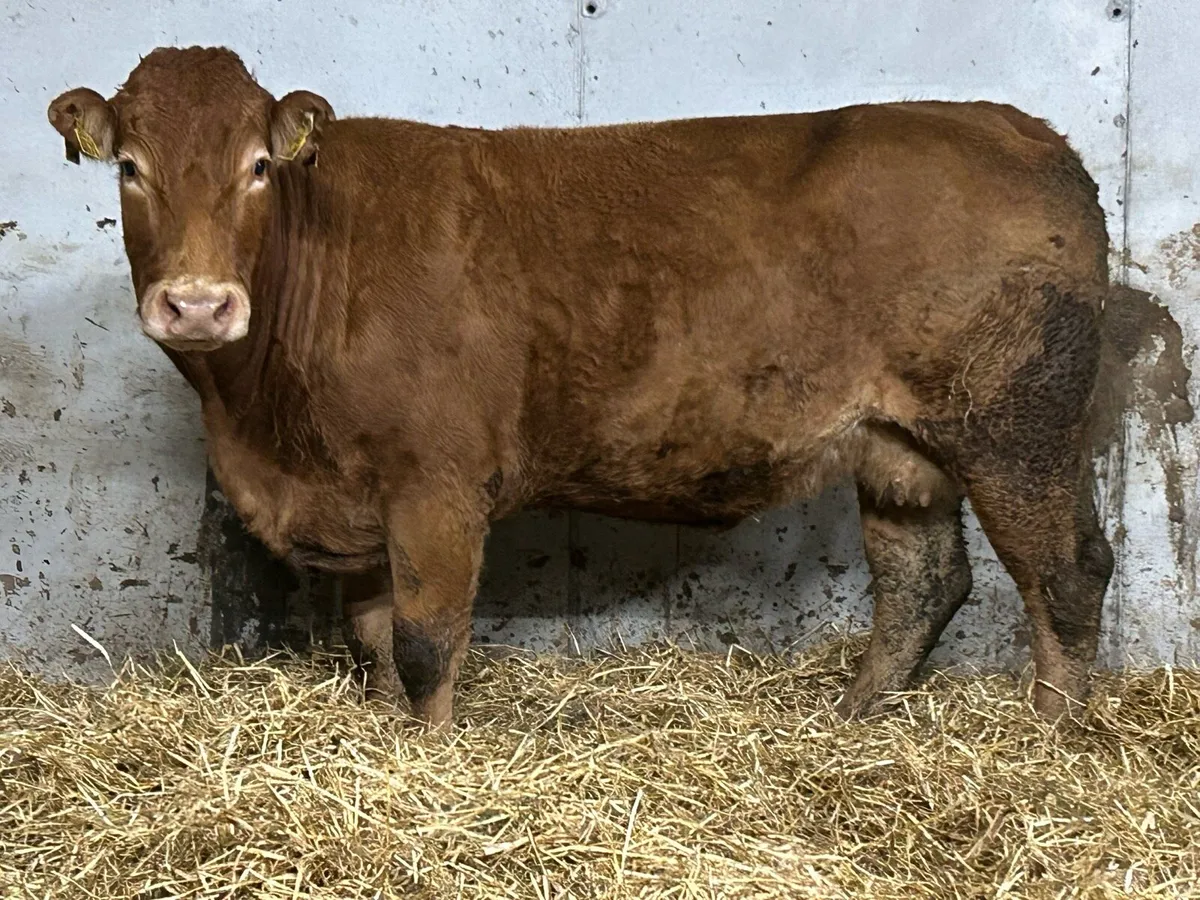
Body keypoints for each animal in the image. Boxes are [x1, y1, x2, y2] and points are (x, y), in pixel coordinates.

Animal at [48, 46, 1114, 728]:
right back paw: (849, 721)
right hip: (901, 443)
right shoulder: (352, 494)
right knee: (925, 582)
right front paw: (385, 747)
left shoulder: (435, 485)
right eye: (130, 167)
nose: (197, 304)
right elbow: (373, 641)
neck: (261, 425)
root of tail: (1022, 130)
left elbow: (427, 643)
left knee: (1065, 572)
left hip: (1017, 425)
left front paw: (430, 765)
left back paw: (1046, 743)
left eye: (260, 165)